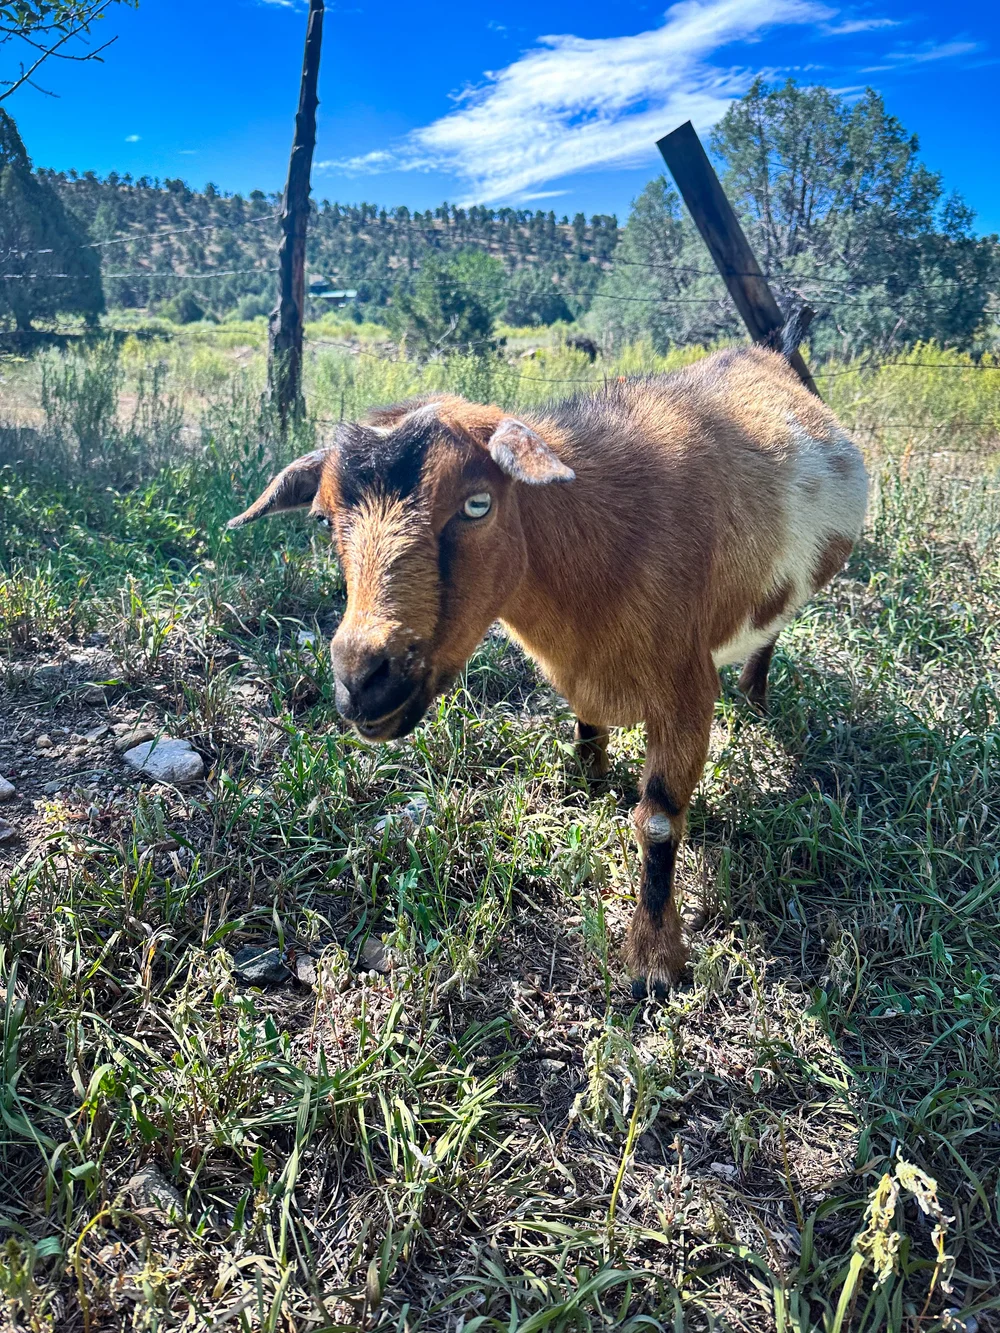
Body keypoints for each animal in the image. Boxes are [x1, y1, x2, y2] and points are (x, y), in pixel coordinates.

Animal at [228, 344, 868, 997]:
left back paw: (755, 695)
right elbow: (586, 728)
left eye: (478, 504)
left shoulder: (686, 687)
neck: (600, 545)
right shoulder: (580, 672)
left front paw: (654, 960)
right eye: (323, 520)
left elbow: (659, 822)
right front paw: (586, 783)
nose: (362, 680)